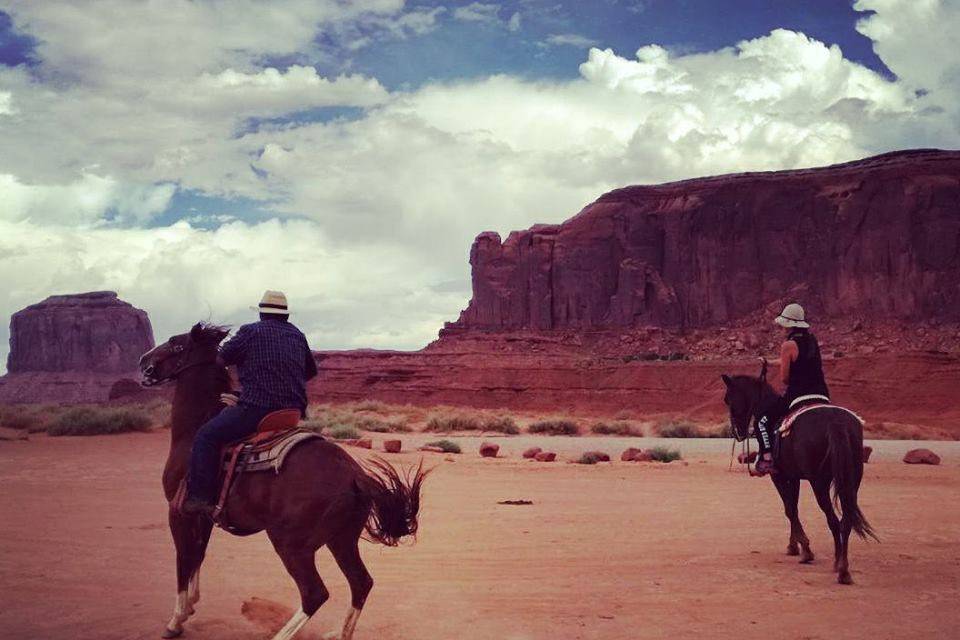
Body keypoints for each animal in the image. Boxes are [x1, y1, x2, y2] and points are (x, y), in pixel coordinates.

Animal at [140, 324, 428, 640]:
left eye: (176, 344)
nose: (143, 361)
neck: (193, 431)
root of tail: (356, 475)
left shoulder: (178, 512)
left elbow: (183, 561)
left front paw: (176, 620)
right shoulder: (202, 516)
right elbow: (198, 556)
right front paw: (191, 605)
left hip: (291, 544)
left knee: (315, 593)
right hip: (341, 540)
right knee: (361, 583)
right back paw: (341, 633)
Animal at [720, 362, 876, 584]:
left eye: (728, 399)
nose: (737, 432)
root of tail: (835, 422)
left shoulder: (778, 475)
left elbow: (789, 509)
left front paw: (805, 550)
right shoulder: (793, 477)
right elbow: (792, 506)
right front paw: (794, 546)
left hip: (819, 482)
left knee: (833, 520)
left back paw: (840, 566)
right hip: (852, 480)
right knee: (845, 520)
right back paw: (843, 568)